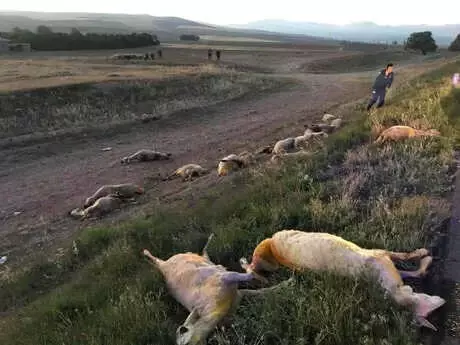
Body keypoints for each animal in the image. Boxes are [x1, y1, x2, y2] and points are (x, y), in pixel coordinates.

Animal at [142, 232, 292, 344]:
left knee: (202, 253)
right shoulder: (238, 293)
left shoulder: (226, 278)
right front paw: (284, 284)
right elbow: (259, 291)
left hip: (187, 259)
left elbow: (252, 278)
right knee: (204, 254)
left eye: (186, 341)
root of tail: (164, 267)